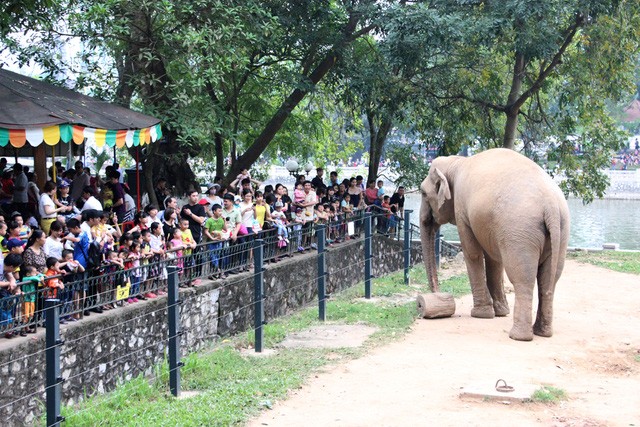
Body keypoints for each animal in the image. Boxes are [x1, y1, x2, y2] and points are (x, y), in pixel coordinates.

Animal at [420, 149, 568, 342]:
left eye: (423, 193)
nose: (435, 294)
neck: (456, 162)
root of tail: (550, 205)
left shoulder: (462, 209)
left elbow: (472, 253)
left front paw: (480, 314)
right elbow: (494, 259)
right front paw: (500, 312)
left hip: (519, 231)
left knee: (523, 278)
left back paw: (518, 336)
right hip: (560, 232)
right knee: (549, 279)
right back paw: (543, 332)